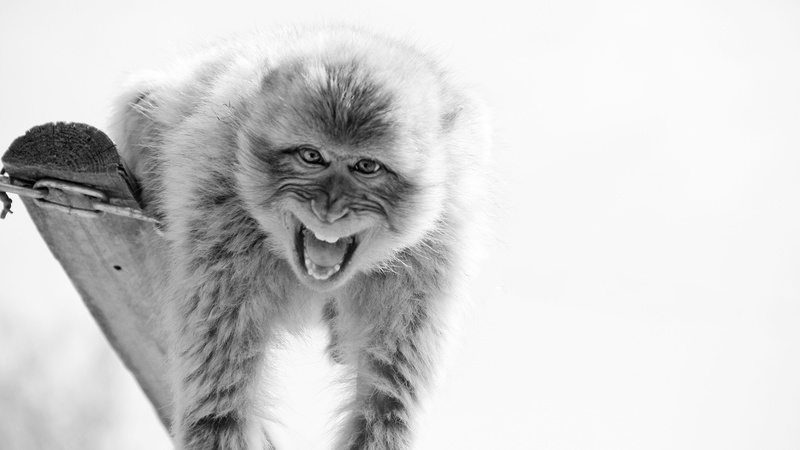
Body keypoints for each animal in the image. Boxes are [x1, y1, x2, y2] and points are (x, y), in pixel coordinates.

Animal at [111, 25, 491, 450]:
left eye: (366, 166)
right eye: (312, 156)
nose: (329, 209)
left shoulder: (431, 257)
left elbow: (385, 403)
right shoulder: (218, 225)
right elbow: (219, 405)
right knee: (142, 101)